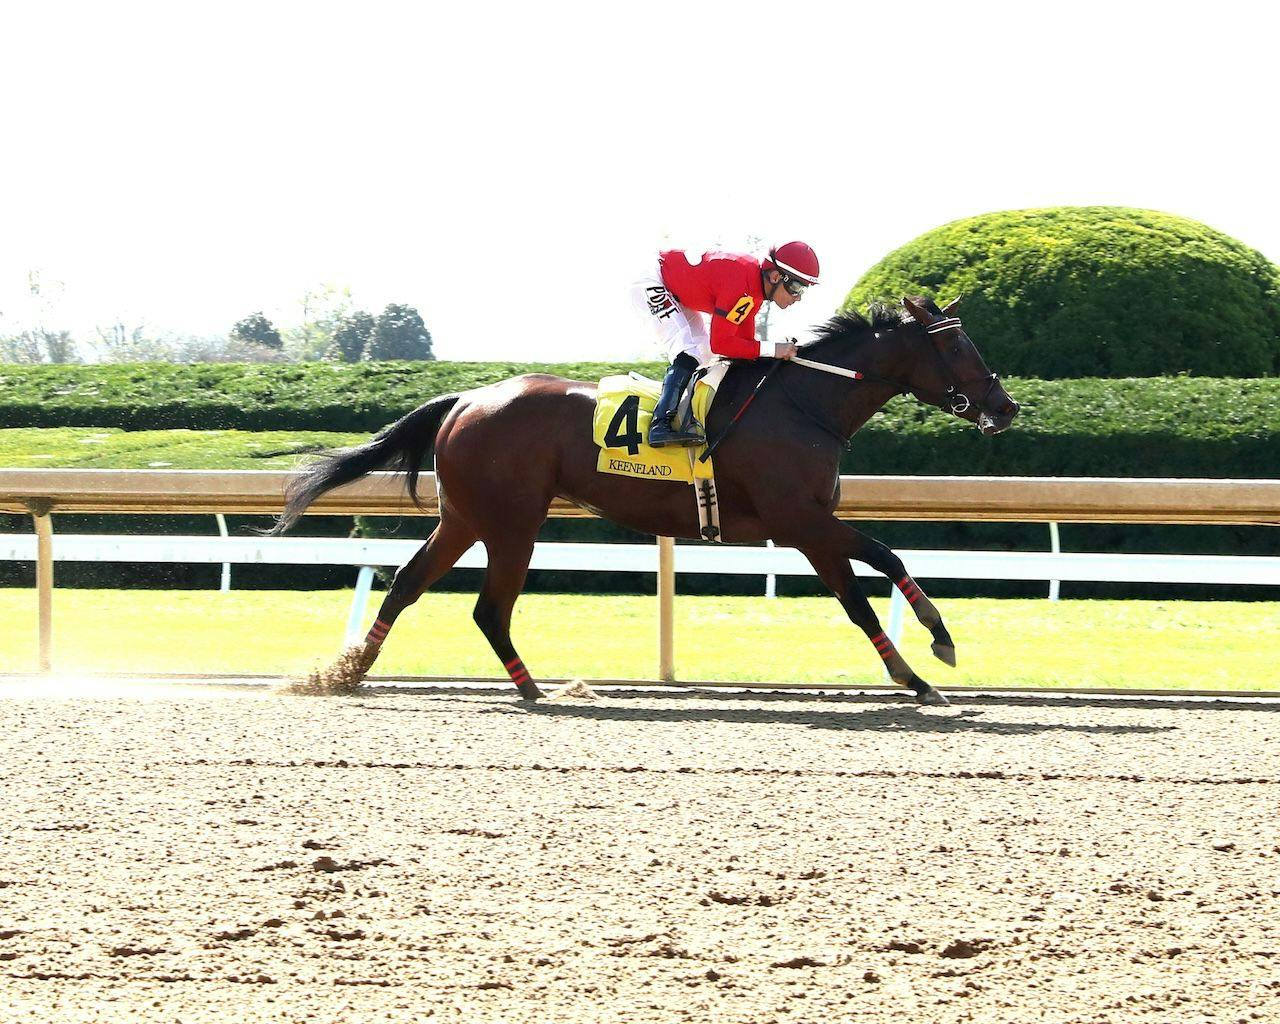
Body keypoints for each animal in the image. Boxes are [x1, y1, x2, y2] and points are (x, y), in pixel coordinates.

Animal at [272, 295, 1018, 706]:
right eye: (959, 346)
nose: (1006, 407)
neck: (805, 403)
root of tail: (465, 398)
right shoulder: (800, 519)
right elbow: (885, 562)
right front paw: (938, 647)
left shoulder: (808, 529)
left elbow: (861, 595)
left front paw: (915, 673)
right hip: (511, 521)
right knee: (488, 607)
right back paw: (533, 687)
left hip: (465, 518)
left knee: (406, 584)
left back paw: (346, 672)